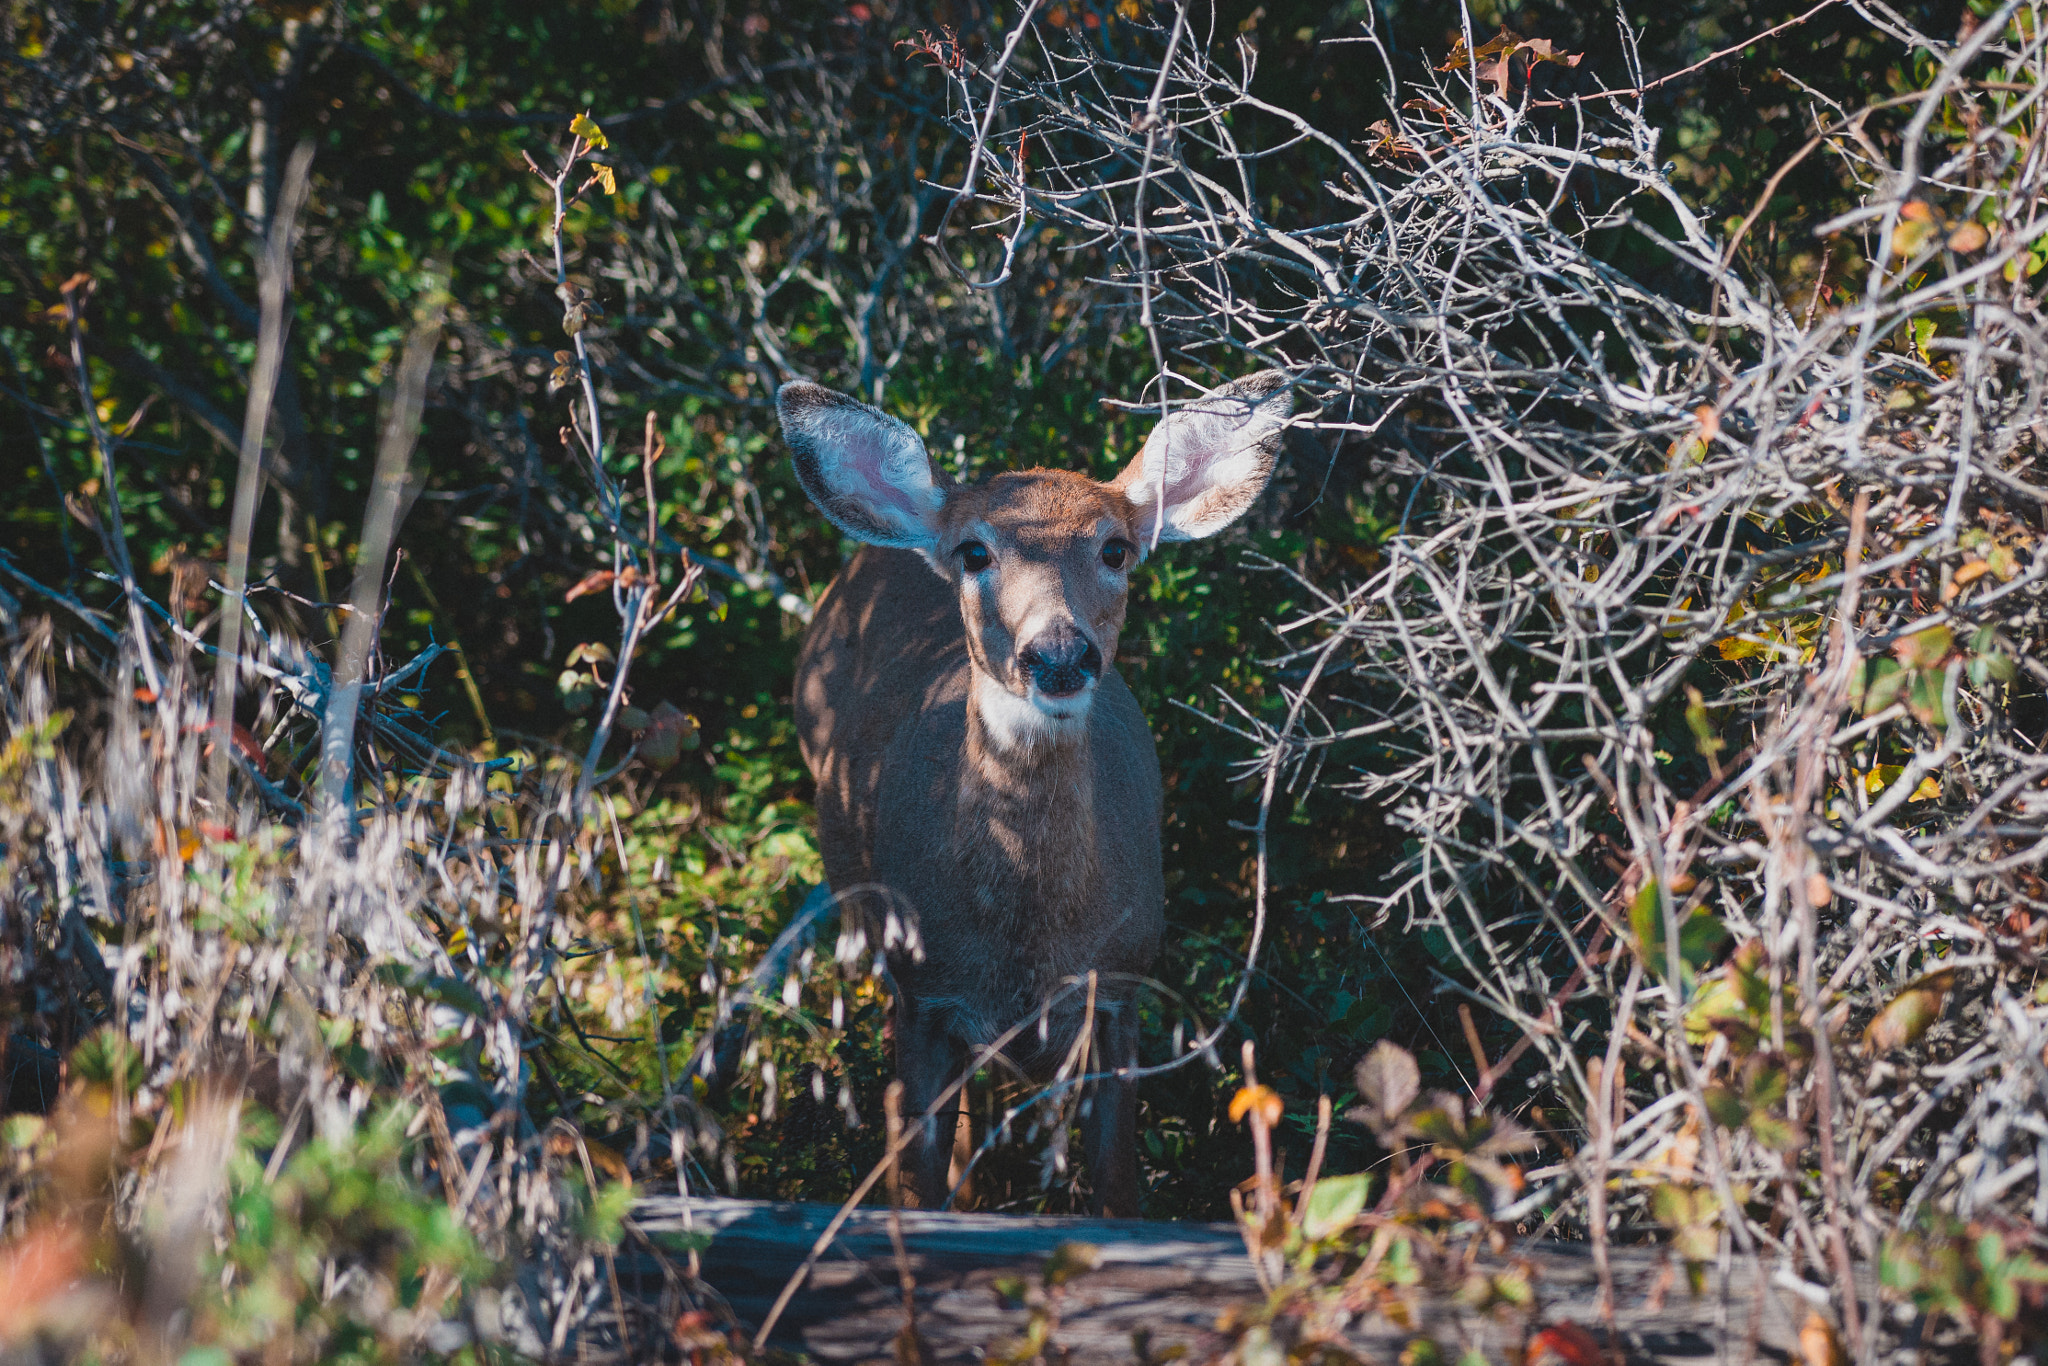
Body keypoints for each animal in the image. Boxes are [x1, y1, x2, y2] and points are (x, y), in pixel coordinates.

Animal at [774, 368, 1286, 1212]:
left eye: (1115, 548)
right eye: (975, 551)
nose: (1058, 655)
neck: (1027, 947)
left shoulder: (1124, 978)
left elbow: (1116, 1178)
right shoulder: (923, 994)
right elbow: (919, 1179)